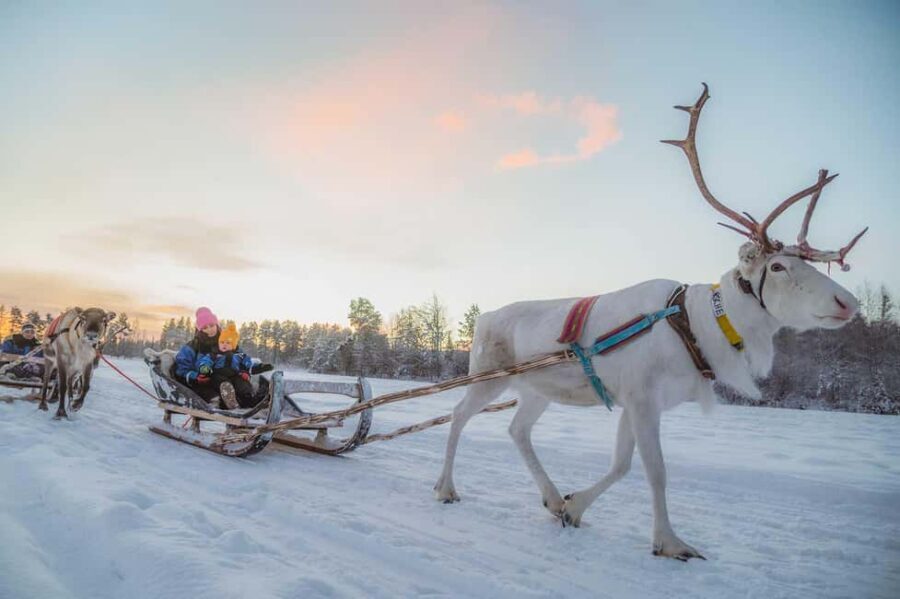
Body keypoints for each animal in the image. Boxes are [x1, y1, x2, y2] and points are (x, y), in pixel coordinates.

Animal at [433, 84, 867, 560]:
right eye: (777, 267)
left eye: (805, 264)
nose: (848, 302)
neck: (698, 326)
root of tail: (485, 316)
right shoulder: (641, 398)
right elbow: (655, 470)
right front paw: (670, 542)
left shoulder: (636, 401)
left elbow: (622, 464)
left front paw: (573, 506)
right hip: (489, 375)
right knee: (457, 415)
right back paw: (446, 488)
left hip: (536, 390)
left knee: (517, 429)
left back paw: (549, 497)